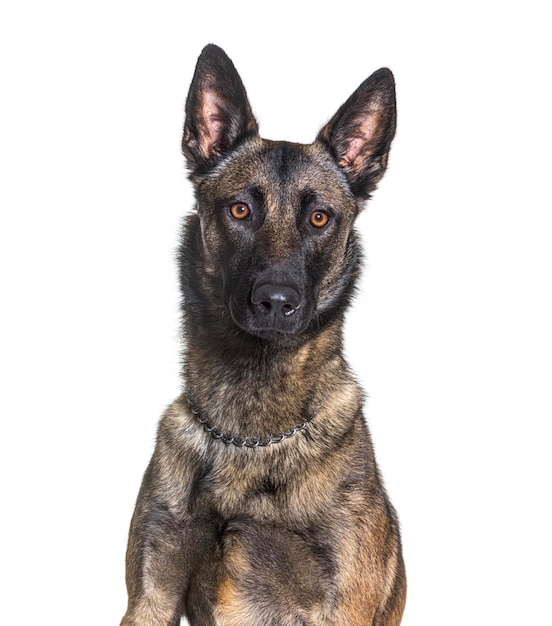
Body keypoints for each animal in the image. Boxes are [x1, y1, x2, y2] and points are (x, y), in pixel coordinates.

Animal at [121, 45, 406, 624]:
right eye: (240, 210)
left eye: (319, 218)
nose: (275, 302)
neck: (248, 436)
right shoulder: (151, 596)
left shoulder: (341, 607)